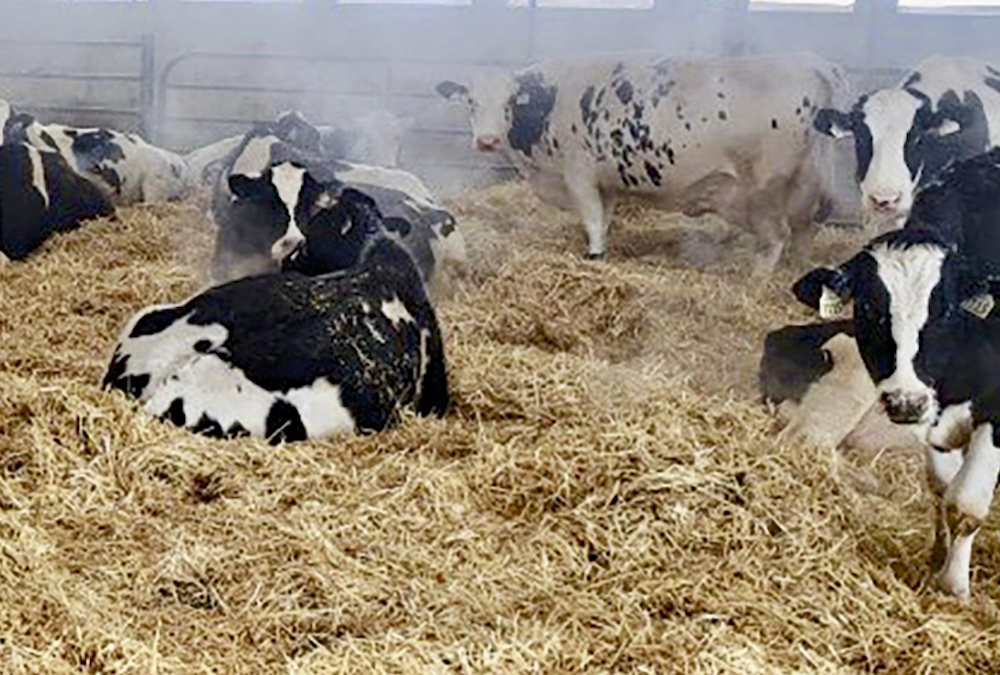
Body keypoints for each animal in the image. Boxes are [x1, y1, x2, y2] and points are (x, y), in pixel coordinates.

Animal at [436, 52, 848, 274]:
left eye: (509, 102)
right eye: (471, 101)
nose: (486, 140)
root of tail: (809, 61)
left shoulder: (579, 174)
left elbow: (592, 220)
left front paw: (595, 255)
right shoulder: (605, 183)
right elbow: (605, 218)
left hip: (764, 189)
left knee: (776, 236)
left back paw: (755, 282)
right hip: (807, 182)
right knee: (804, 229)